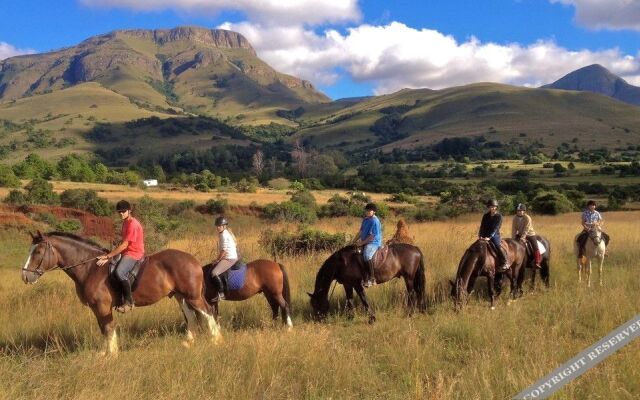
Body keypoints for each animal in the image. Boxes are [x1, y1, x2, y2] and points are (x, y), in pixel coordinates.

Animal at [21, 231, 221, 356]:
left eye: (38, 251)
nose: (25, 276)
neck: (90, 268)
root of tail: (193, 260)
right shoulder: (97, 309)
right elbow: (103, 328)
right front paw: (105, 352)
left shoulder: (102, 307)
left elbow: (108, 328)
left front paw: (112, 354)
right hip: (181, 296)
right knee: (191, 316)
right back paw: (189, 342)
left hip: (193, 296)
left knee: (207, 312)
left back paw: (216, 340)